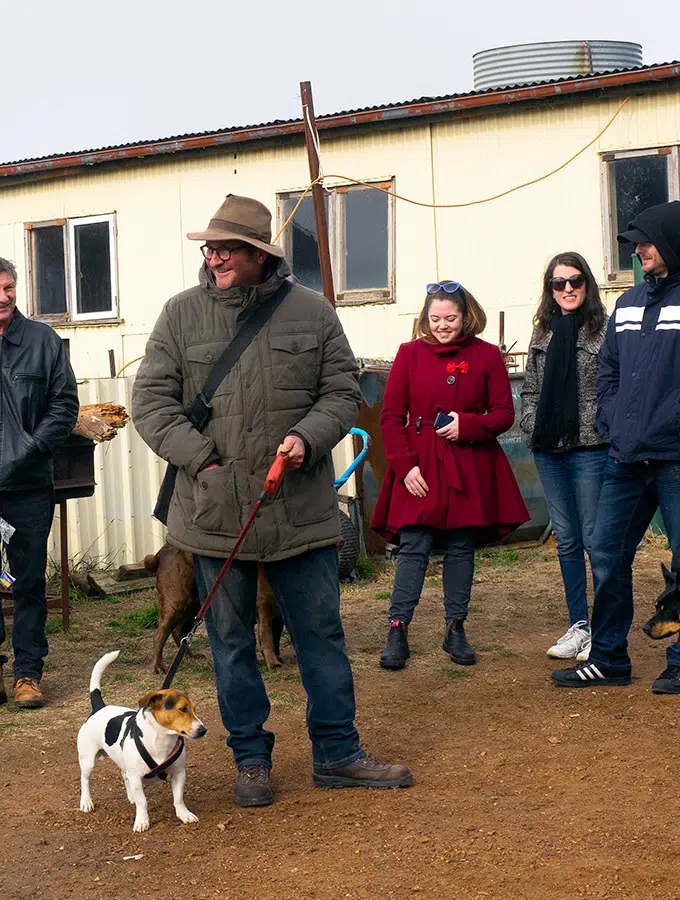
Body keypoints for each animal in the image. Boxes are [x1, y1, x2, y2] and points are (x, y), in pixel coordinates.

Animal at [147, 540, 286, 676]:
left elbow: (275, 637)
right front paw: (273, 663)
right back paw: (158, 667)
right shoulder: (263, 608)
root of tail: (160, 552)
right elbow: (267, 638)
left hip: (194, 604)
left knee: (178, 632)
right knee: (160, 635)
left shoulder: (278, 614)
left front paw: (277, 658)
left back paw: (190, 657)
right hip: (176, 602)